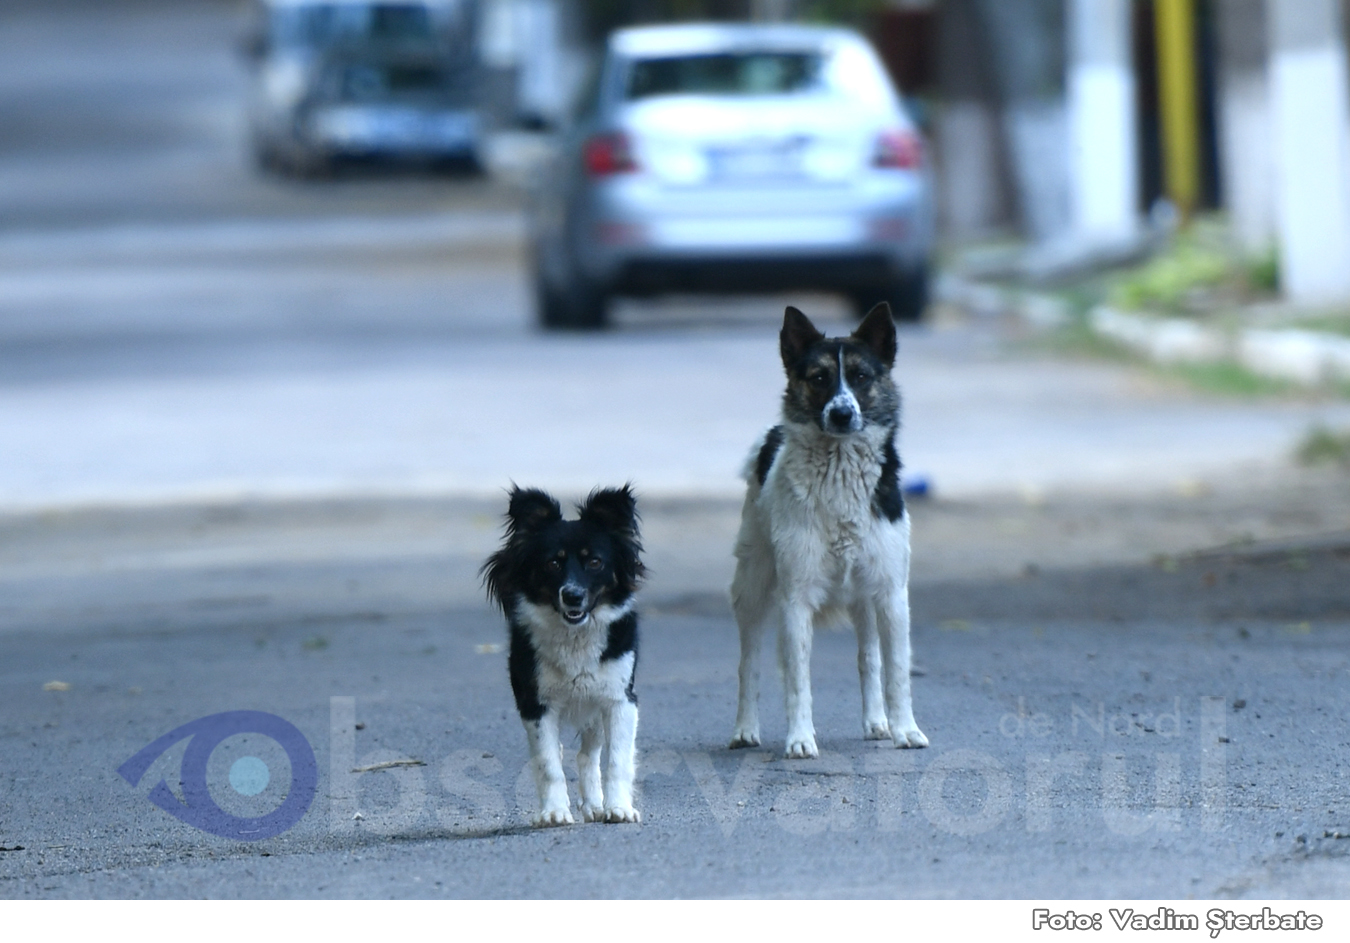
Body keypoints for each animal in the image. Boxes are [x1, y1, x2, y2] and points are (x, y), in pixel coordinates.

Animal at [483, 485, 645, 825]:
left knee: (587, 755)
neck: (575, 636)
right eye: (552, 564)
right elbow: (548, 764)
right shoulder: (536, 704)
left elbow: (617, 760)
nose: (572, 595)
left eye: (595, 562)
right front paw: (554, 811)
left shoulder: (620, 699)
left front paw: (619, 808)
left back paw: (596, 805)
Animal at [729, 302, 928, 760]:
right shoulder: (795, 599)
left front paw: (904, 730)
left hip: (864, 599)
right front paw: (800, 738)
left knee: (869, 657)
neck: (840, 472)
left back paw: (877, 722)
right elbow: (797, 679)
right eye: (819, 378)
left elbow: (895, 672)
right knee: (749, 663)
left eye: (861, 376)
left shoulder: (891, 593)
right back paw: (745, 729)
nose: (841, 413)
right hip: (752, 587)